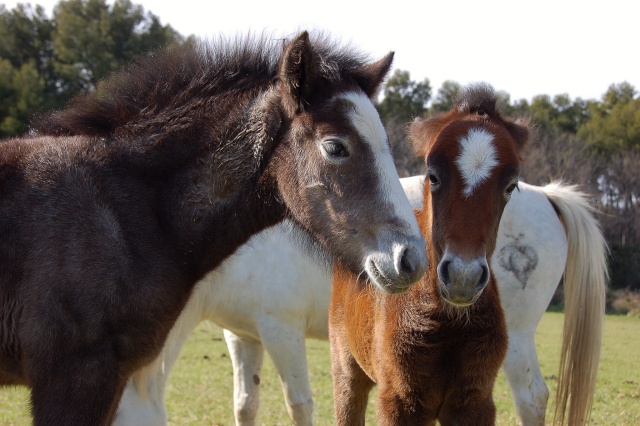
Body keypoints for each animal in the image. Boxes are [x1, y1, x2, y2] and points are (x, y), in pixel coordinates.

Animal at [116, 176, 608, 426]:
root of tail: (543, 195)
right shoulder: (242, 337)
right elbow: (245, 404)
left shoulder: (281, 331)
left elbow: (299, 403)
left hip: (516, 338)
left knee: (531, 398)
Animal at [328, 84, 528, 426]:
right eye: (433, 176)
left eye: (511, 186)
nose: (463, 277)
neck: (448, 325)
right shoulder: (399, 403)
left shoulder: (474, 404)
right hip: (346, 374)